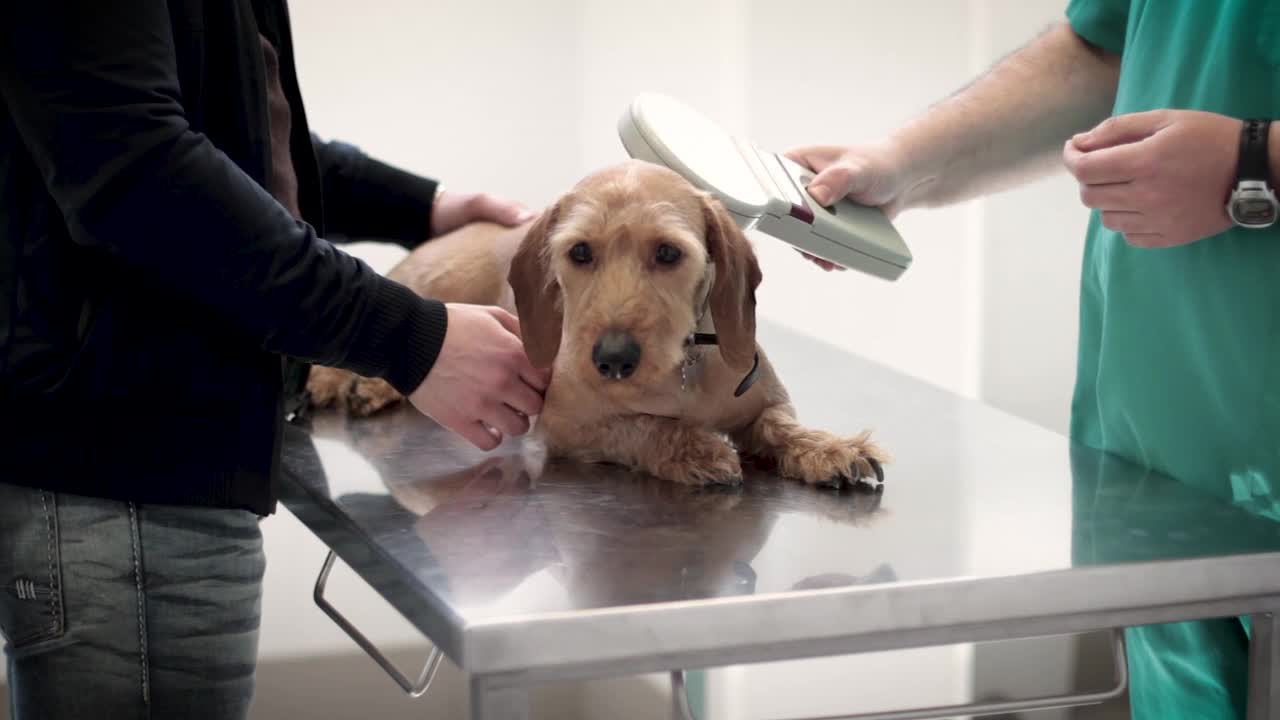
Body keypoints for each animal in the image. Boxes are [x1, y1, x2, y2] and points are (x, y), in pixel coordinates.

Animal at [309, 158, 890, 484]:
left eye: (668, 252)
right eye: (581, 252)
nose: (612, 359)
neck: (681, 370)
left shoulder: (765, 402)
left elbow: (780, 425)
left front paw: (831, 448)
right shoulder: (566, 424)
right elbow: (640, 427)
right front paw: (695, 449)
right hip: (435, 288)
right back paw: (345, 381)